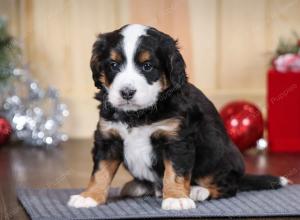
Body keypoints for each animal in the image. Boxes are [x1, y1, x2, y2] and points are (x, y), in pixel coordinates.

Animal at [67, 24, 288, 210]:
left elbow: (175, 172)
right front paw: (89, 196)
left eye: (147, 66)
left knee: (228, 186)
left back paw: (199, 191)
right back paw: (138, 186)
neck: (138, 115)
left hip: (221, 158)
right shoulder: (108, 137)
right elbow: (100, 171)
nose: (127, 92)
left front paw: (176, 198)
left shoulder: (177, 140)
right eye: (113, 64)